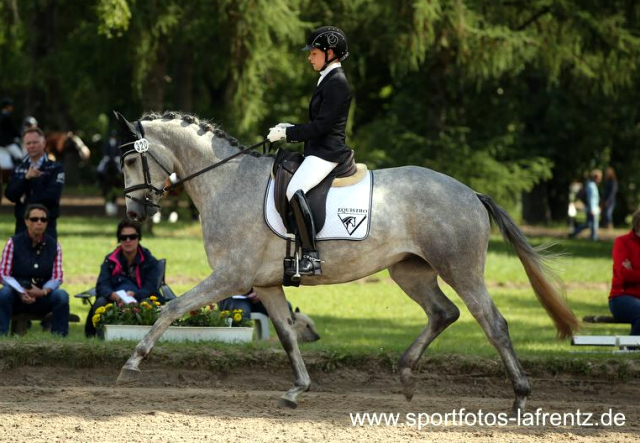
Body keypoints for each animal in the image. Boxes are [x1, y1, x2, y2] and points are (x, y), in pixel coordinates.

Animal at [114, 111, 580, 412]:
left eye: (132, 159)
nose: (134, 214)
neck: (226, 181)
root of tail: (470, 192)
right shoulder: (264, 283)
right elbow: (287, 335)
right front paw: (297, 389)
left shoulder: (231, 276)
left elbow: (171, 308)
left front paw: (132, 362)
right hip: (409, 270)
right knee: (443, 313)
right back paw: (406, 376)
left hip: (460, 269)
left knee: (492, 322)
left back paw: (519, 395)